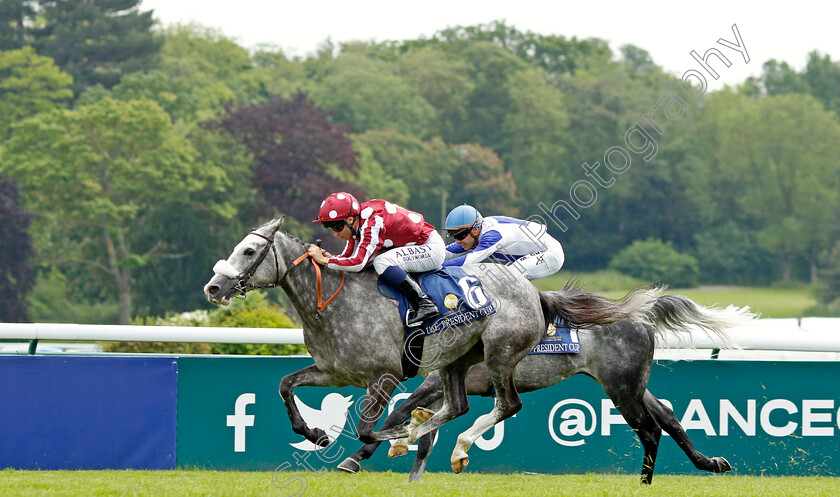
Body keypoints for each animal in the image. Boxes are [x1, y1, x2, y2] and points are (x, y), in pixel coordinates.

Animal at [203, 219, 664, 456]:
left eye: (249, 251)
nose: (213, 287)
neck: (333, 303)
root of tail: (535, 294)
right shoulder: (335, 372)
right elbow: (286, 384)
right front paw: (315, 434)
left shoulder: (384, 376)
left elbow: (372, 428)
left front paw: (389, 439)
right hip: (456, 361)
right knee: (459, 405)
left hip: (503, 355)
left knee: (507, 404)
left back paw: (455, 445)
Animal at [342, 292, 756, 482]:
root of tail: (640, 316)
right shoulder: (446, 385)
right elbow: (417, 421)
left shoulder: (440, 383)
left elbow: (400, 412)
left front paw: (356, 458)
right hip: (631, 383)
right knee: (669, 417)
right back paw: (709, 462)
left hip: (621, 388)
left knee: (650, 429)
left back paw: (644, 480)